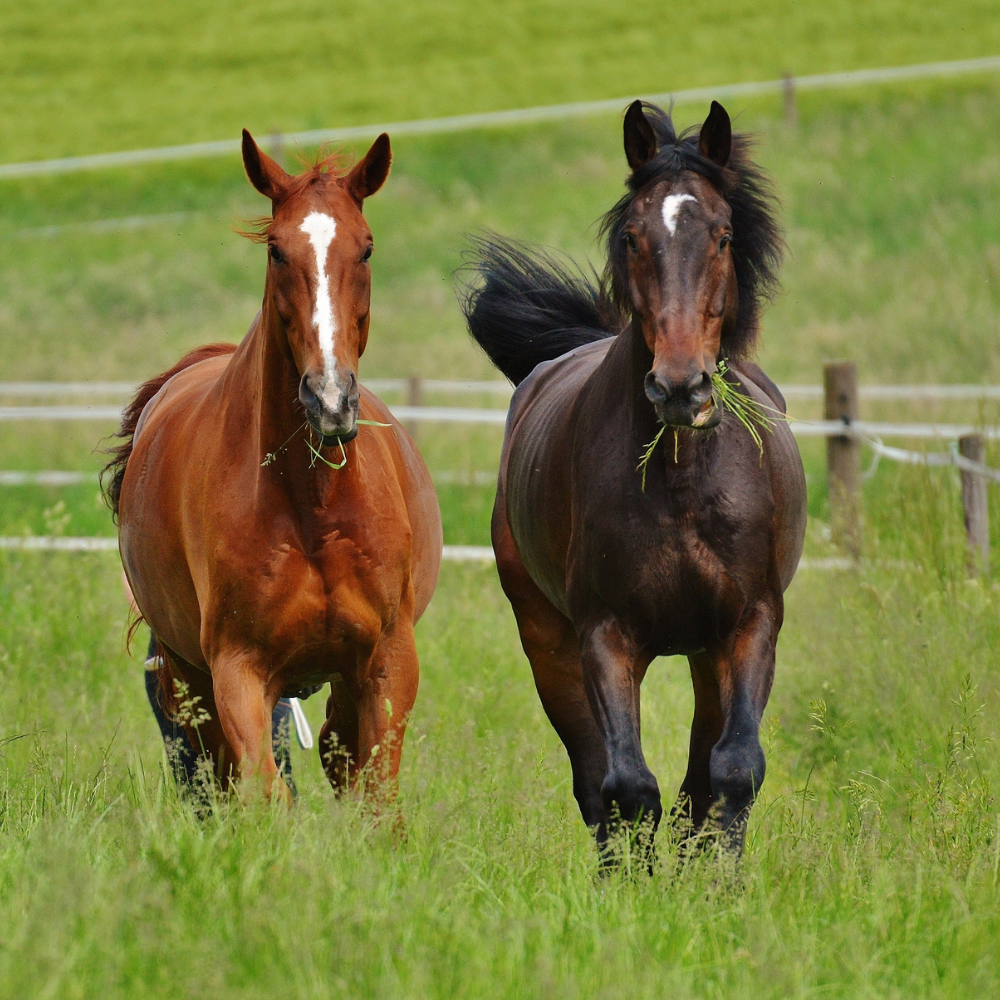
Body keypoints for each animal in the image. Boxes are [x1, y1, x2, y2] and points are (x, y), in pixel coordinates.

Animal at [104, 131, 442, 801]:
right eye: (277, 251)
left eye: (366, 247)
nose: (330, 400)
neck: (313, 506)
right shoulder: (238, 670)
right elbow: (265, 792)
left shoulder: (387, 663)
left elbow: (374, 797)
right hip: (192, 679)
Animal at [461, 100, 806, 856]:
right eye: (632, 237)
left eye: (723, 235)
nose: (679, 387)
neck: (682, 484)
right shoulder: (605, 635)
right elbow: (625, 787)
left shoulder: (750, 623)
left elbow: (731, 770)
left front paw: (717, 879)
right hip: (548, 642)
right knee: (597, 782)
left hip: (706, 654)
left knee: (700, 773)